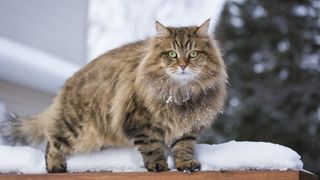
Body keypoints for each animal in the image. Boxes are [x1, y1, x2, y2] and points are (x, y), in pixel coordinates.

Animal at [0, 19, 228, 173]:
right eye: (172, 54)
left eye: (193, 54)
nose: (183, 65)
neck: (180, 94)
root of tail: (69, 82)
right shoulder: (140, 121)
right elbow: (152, 146)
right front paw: (158, 165)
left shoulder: (187, 126)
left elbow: (183, 147)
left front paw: (186, 164)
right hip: (75, 127)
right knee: (52, 142)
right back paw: (56, 166)